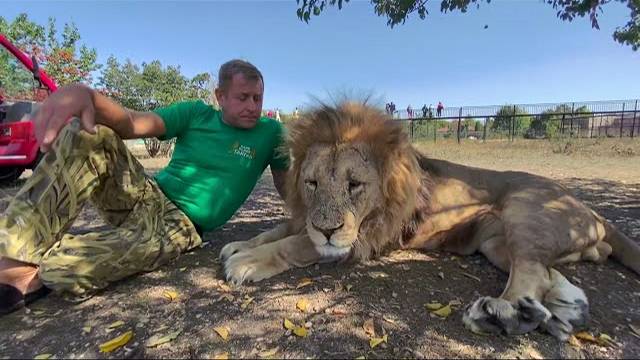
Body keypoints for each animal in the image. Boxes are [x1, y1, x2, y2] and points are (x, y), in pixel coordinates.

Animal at [218, 100, 636, 338]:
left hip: (525, 209)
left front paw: (246, 261)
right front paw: (239, 245)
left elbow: (293, 243)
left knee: (531, 273)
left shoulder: (361, 238)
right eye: (312, 182)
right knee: (545, 273)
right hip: (495, 242)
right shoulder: (309, 217)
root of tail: (590, 208)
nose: (327, 229)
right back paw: (561, 313)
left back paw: (500, 313)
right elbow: (277, 229)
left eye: (354, 185)